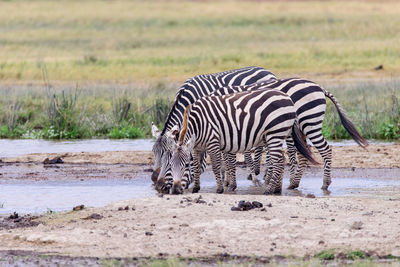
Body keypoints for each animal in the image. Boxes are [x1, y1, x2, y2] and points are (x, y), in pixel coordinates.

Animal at [162, 88, 318, 195]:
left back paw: (269, 190)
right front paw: (196, 188)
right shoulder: (197, 147)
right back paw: (277, 189)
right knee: (280, 160)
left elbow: (216, 166)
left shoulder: (213, 142)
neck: (198, 125)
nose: (175, 191)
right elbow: (197, 166)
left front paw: (219, 189)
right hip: (276, 135)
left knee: (278, 161)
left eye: (185, 165)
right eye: (170, 165)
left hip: (275, 133)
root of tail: (288, 98)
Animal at [209, 78, 368, 192]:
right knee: (304, 154)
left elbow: (229, 157)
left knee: (326, 149)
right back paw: (294, 183)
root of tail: (319, 88)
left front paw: (230, 183)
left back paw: (325, 183)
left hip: (309, 122)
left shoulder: (231, 127)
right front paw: (228, 180)